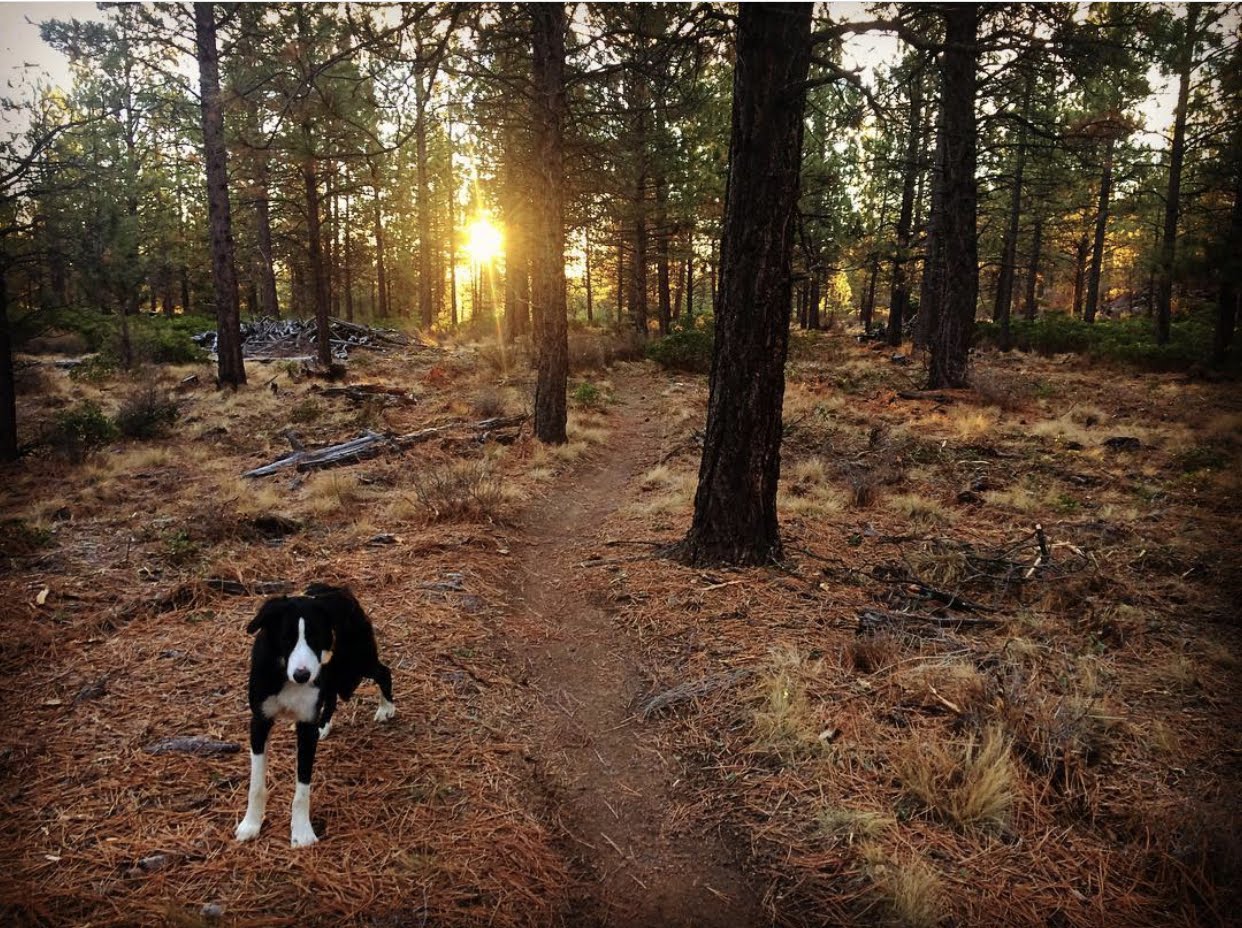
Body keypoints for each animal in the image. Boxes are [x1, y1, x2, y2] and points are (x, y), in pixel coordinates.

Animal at [235, 588, 392, 849]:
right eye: (286, 639)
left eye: (315, 638)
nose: (303, 675)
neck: (287, 677)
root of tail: (336, 589)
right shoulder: (259, 721)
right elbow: (256, 785)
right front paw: (251, 824)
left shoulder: (306, 726)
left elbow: (302, 789)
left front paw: (302, 832)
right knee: (332, 696)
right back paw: (325, 725)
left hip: (355, 662)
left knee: (383, 671)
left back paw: (387, 707)